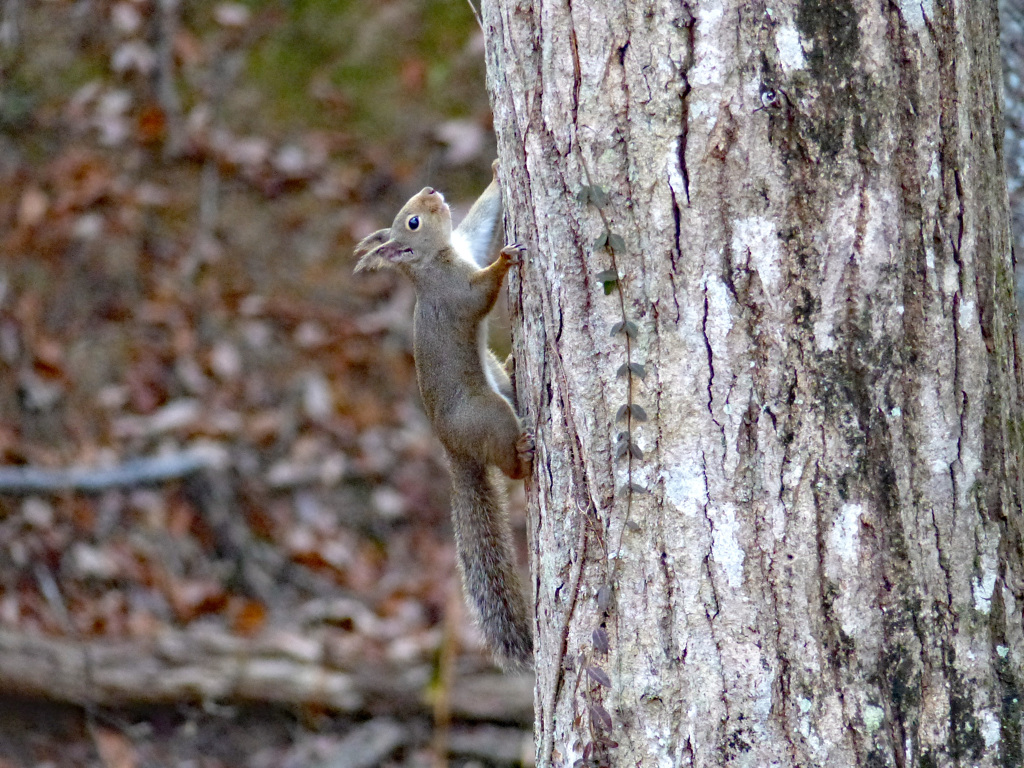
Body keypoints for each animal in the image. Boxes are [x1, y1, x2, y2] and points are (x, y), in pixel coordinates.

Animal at [354, 163, 536, 671]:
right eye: (412, 222)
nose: (431, 190)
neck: (437, 261)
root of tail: (452, 449)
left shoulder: (467, 241)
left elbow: (481, 222)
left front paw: (495, 175)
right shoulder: (457, 294)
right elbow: (480, 294)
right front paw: (504, 263)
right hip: (487, 414)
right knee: (507, 461)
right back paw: (523, 454)